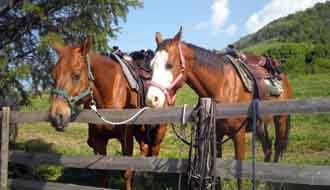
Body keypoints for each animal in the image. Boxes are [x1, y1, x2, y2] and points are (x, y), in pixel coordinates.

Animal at [48, 37, 168, 189]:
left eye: (76, 75)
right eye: (53, 76)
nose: (56, 116)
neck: (110, 93)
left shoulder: (126, 139)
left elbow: (127, 173)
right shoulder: (99, 140)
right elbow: (103, 175)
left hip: (159, 131)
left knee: (154, 151)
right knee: (145, 148)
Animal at [146, 28, 292, 189]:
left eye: (169, 65)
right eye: (151, 66)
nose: (152, 99)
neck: (223, 85)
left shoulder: (238, 135)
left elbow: (239, 175)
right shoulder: (216, 135)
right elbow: (217, 172)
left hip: (281, 119)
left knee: (278, 147)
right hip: (260, 124)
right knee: (268, 148)